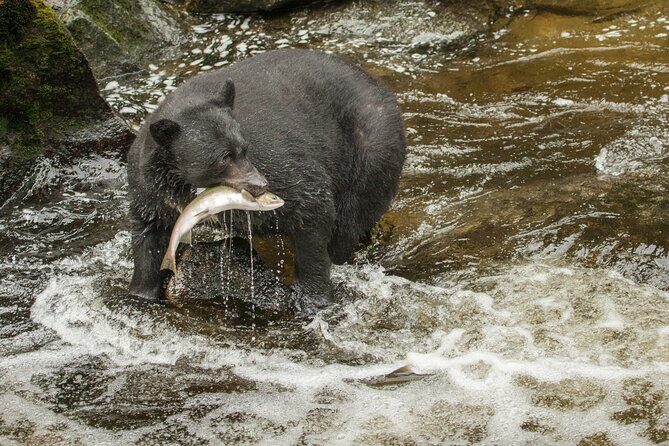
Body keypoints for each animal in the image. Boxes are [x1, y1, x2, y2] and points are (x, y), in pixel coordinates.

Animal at [127, 48, 406, 315]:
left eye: (244, 148)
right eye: (223, 157)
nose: (260, 184)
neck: (182, 186)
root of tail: (382, 88)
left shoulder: (279, 161)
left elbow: (312, 206)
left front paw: (313, 299)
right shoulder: (149, 191)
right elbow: (148, 239)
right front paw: (141, 293)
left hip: (371, 152)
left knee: (349, 222)